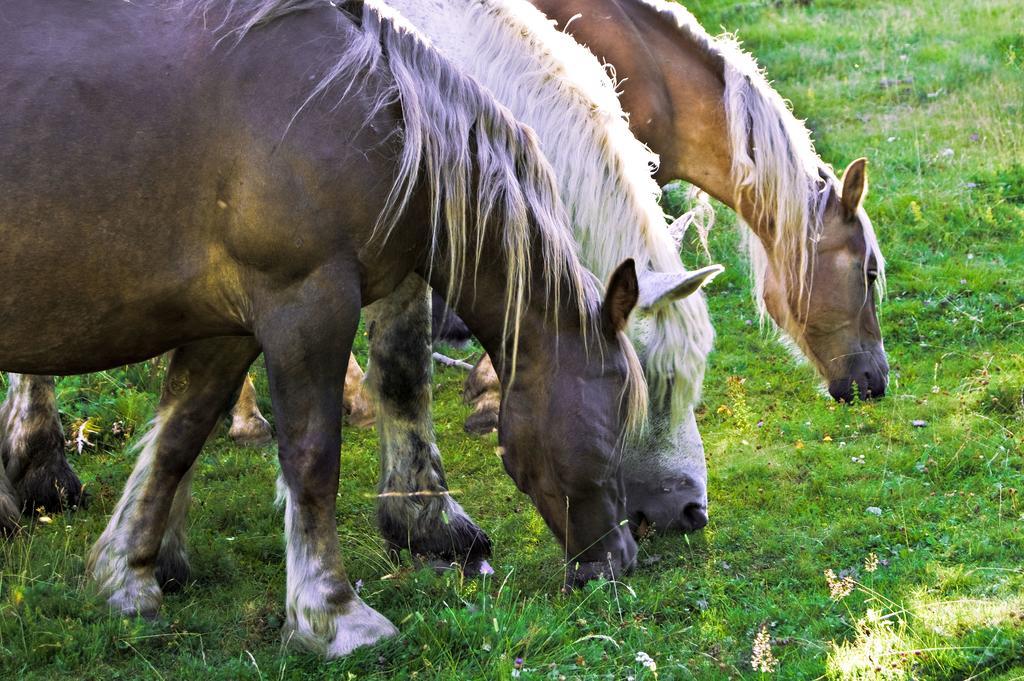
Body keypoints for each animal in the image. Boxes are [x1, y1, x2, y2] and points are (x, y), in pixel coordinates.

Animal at [0, 0, 700, 655]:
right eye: (622, 415)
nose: (620, 561)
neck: (368, 118)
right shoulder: (309, 304)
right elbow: (313, 456)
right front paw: (332, 614)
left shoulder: (229, 327)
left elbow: (178, 438)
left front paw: (129, 579)